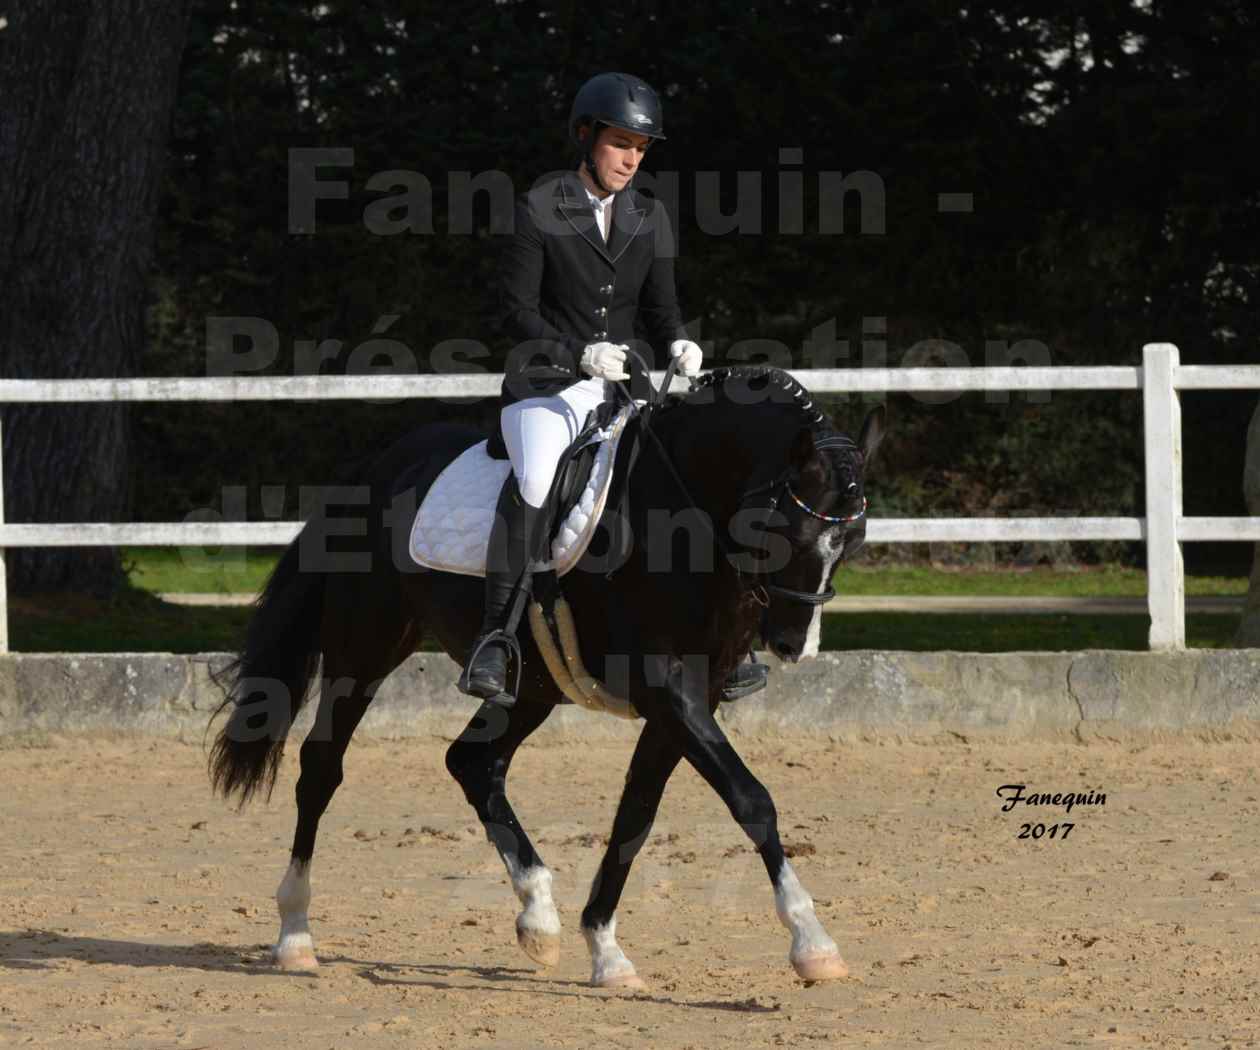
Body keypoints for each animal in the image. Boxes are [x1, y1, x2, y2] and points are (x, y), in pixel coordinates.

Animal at [209, 365, 887, 988]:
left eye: (853, 537)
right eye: (780, 529)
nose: (795, 644)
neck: (683, 509)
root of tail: (376, 469)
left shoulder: (689, 701)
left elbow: (636, 815)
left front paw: (605, 951)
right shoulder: (668, 690)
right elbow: (751, 800)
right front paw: (812, 941)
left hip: (530, 685)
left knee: (473, 762)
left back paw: (538, 915)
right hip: (365, 649)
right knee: (322, 769)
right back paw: (295, 935)